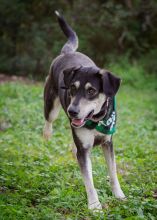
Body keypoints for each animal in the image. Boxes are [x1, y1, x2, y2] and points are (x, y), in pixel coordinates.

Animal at [43, 11, 125, 211]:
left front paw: (119, 195)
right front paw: (95, 205)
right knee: (49, 121)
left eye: (91, 91)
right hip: (51, 106)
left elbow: (113, 171)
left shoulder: (108, 143)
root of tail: (67, 52)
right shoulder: (84, 149)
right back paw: (47, 136)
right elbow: (89, 180)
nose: (72, 111)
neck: (96, 120)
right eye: (72, 88)